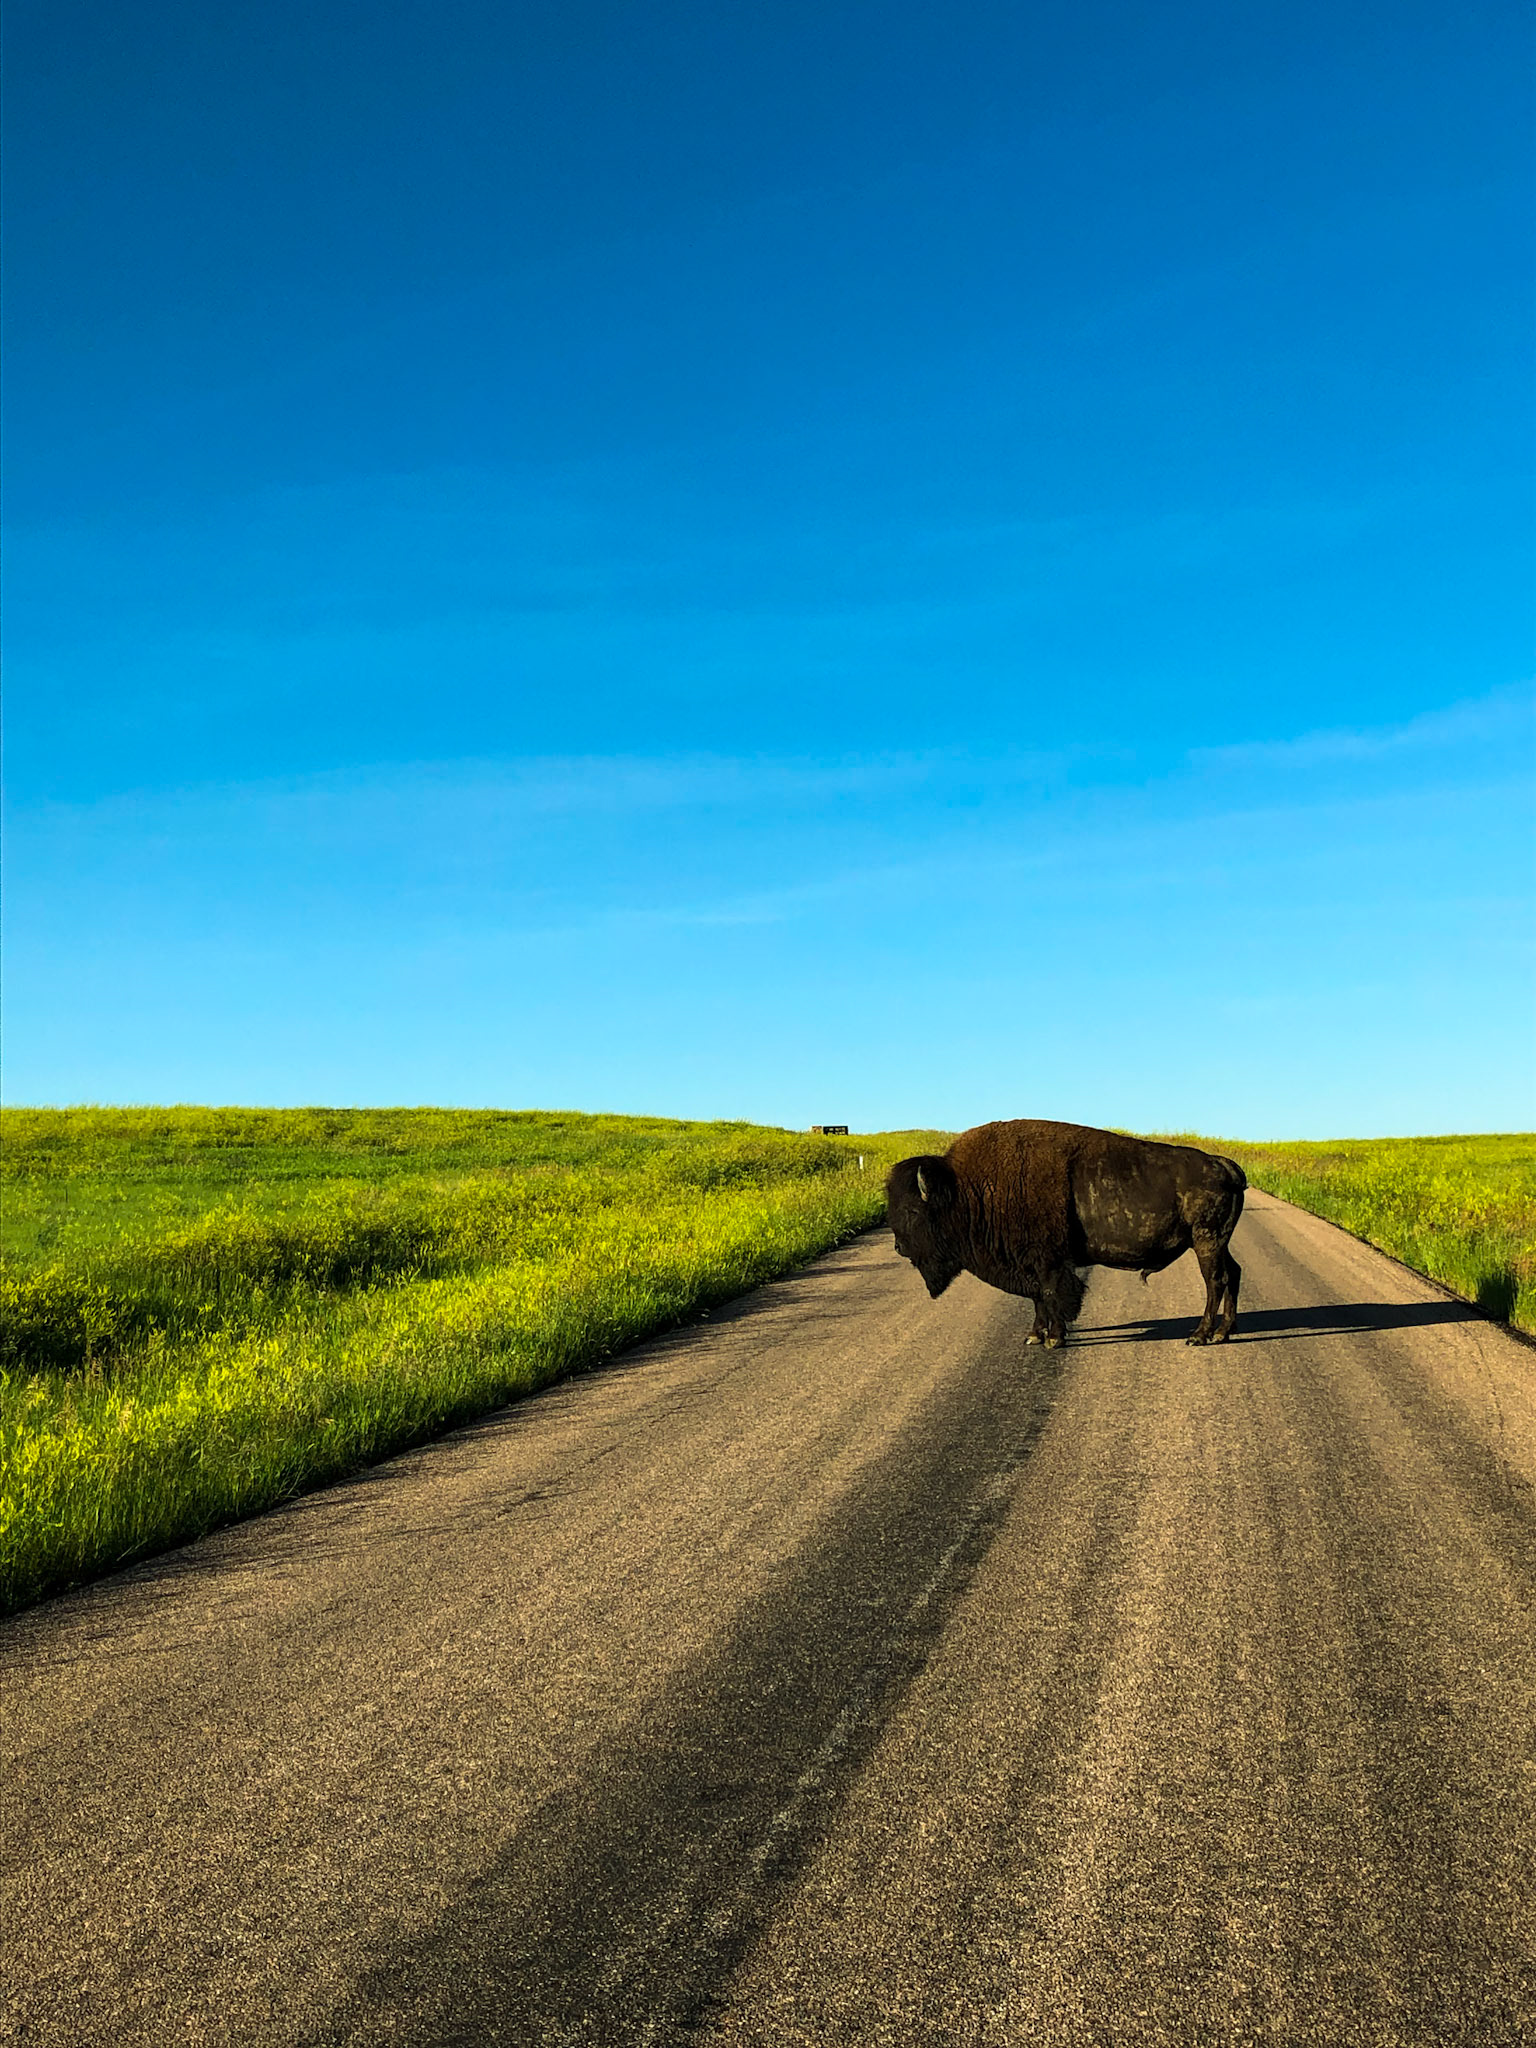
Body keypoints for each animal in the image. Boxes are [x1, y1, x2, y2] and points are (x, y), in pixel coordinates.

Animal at [886, 1119, 1246, 1347]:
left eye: (913, 1211)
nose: (899, 1247)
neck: (968, 1191)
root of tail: (1225, 1164)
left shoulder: (1048, 1262)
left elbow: (1051, 1295)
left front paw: (1054, 1339)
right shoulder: (1028, 1264)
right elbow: (1037, 1300)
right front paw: (1034, 1336)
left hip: (1205, 1240)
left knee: (1215, 1281)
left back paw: (1199, 1336)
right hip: (1218, 1242)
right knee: (1234, 1273)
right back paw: (1223, 1332)